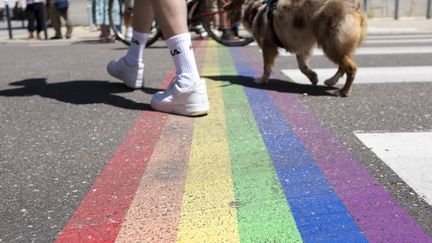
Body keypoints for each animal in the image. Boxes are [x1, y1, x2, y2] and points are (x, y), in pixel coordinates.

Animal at [228, 0, 366, 97]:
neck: (255, 8)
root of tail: (355, 5)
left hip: (331, 44)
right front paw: (313, 77)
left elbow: (266, 67)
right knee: (343, 65)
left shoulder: (268, 46)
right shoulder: (300, 45)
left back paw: (343, 91)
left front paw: (262, 80)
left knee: (350, 67)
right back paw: (331, 81)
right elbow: (302, 66)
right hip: (337, 46)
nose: (223, 7)